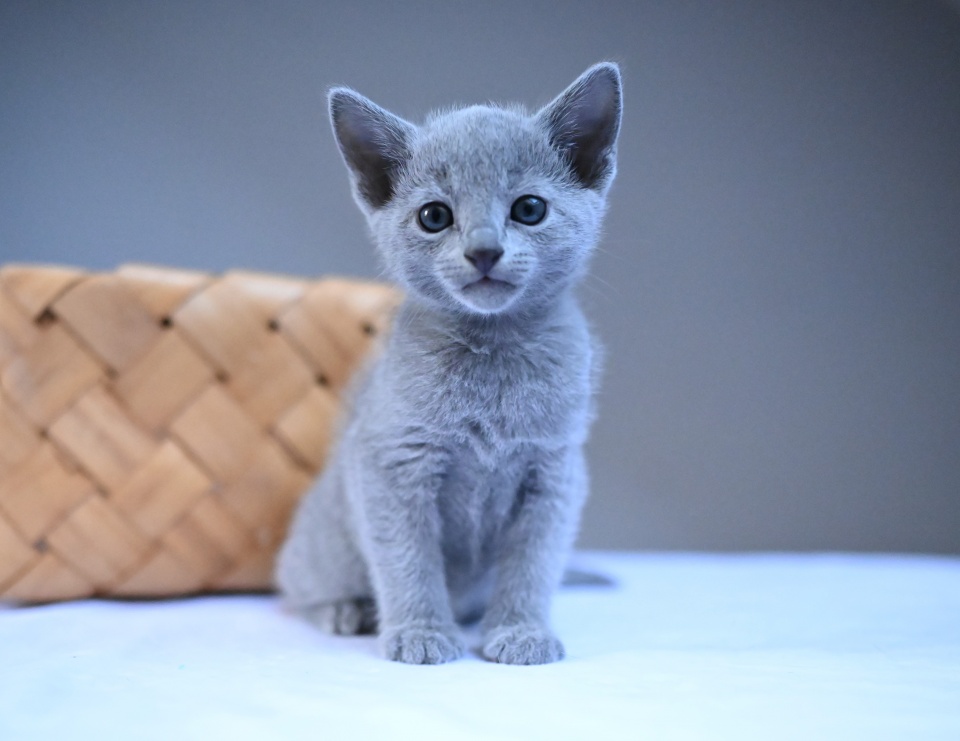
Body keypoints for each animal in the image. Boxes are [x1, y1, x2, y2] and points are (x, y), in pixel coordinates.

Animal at [278, 63, 624, 664]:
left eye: (529, 208)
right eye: (435, 216)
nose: (484, 250)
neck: (491, 351)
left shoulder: (555, 473)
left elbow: (533, 565)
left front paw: (521, 632)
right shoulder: (392, 464)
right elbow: (407, 559)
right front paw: (420, 633)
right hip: (322, 542)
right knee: (295, 587)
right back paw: (346, 610)